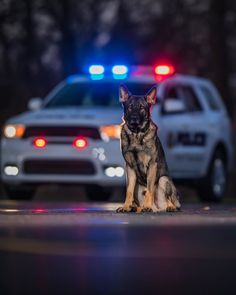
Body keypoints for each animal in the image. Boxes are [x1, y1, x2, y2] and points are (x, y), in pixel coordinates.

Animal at [116, 84, 181, 214]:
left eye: (141, 107)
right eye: (130, 107)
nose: (134, 118)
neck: (136, 134)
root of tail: (157, 208)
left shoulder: (152, 165)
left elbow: (150, 189)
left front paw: (147, 206)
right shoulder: (130, 168)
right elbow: (129, 191)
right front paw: (126, 206)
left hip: (163, 180)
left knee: (170, 201)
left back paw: (167, 207)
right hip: (138, 186)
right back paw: (136, 207)